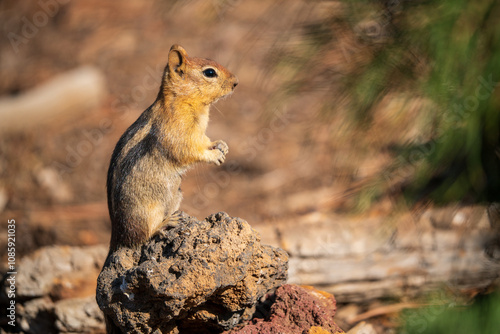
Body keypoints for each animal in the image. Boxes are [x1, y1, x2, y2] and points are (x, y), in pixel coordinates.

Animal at [106, 45, 238, 252]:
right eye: (209, 72)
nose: (235, 83)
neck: (184, 101)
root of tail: (117, 238)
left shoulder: (199, 133)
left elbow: (205, 141)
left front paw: (220, 144)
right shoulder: (180, 135)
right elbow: (188, 151)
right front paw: (214, 155)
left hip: (177, 194)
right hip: (146, 212)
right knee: (142, 236)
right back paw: (165, 224)